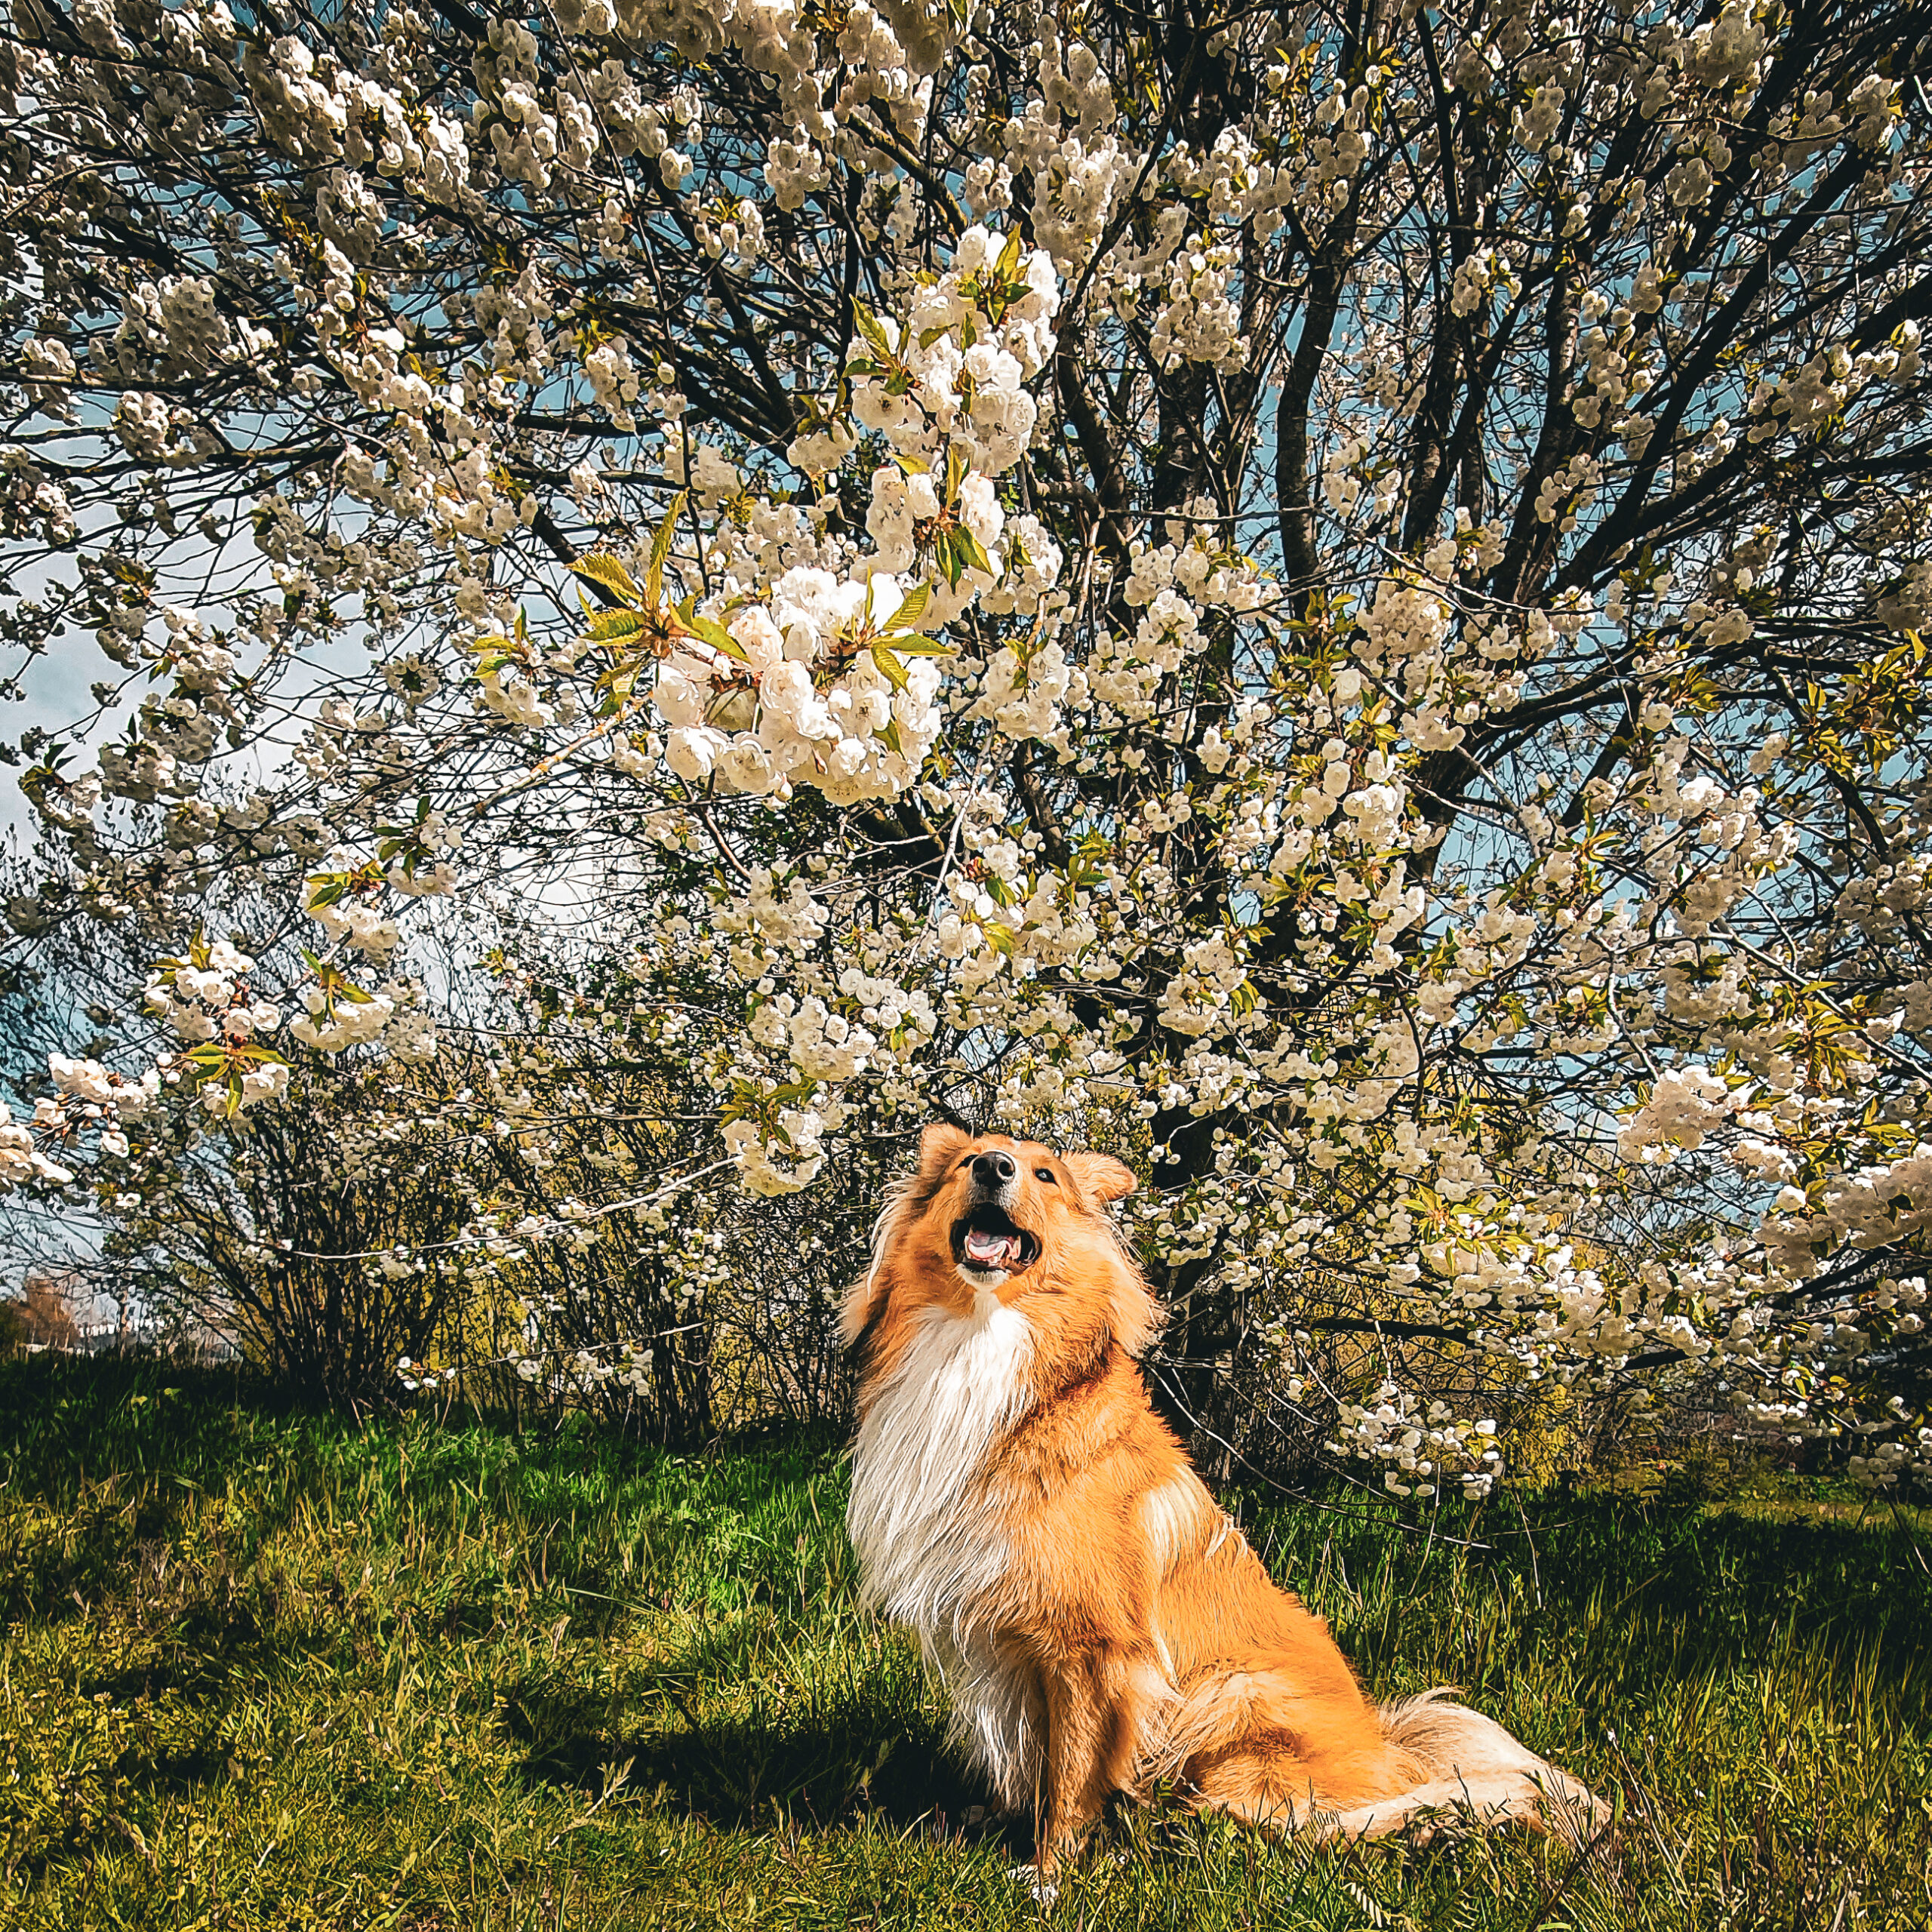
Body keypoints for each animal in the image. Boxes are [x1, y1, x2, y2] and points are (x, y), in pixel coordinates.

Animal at [846, 1128, 1615, 1878]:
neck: (983, 1337)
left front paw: (1050, 1875)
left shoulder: (1092, 1649)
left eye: (1045, 1177)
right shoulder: (1003, 1638)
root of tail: (1391, 1750)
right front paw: (999, 1824)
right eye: (969, 1161)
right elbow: (1030, 1753)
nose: (994, 1167)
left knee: (1329, 1823)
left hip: (1232, 1694)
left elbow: (1072, 1772)